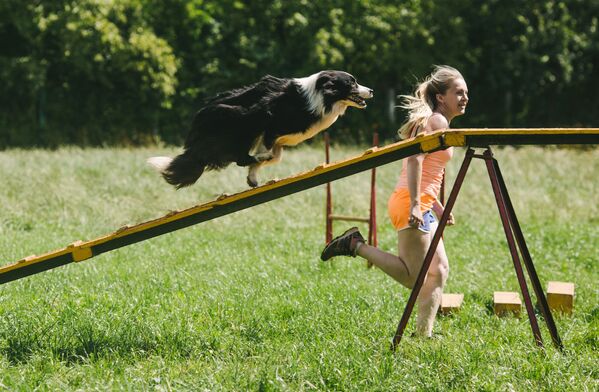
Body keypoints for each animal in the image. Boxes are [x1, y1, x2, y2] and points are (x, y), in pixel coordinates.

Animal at [149, 70, 372, 188]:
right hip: (240, 122)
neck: (321, 96)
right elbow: (269, 153)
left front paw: (253, 177)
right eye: (352, 83)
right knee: (240, 157)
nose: (371, 90)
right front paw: (259, 163)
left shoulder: (278, 139)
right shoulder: (268, 119)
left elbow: (276, 157)